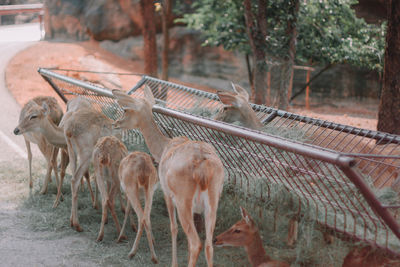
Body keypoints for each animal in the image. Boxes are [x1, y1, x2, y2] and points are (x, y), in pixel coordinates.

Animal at [112, 86, 225, 267]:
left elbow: (173, 227)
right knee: (208, 245)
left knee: (196, 242)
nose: (115, 124)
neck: (164, 147)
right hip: (212, 203)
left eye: (125, 109)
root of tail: (203, 167)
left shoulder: (167, 194)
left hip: (183, 201)